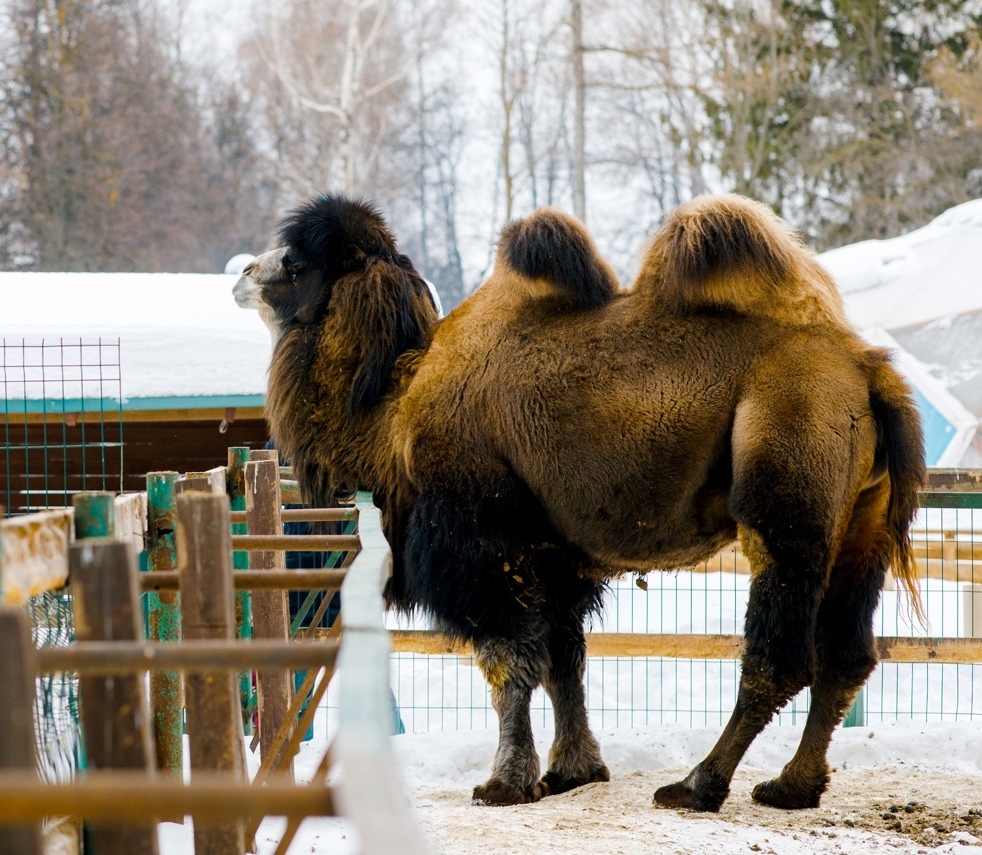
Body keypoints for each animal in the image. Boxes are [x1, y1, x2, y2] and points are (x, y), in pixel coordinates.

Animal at [234, 191, 928, 812]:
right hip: (860, 523)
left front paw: (503, 783)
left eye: (296, 264)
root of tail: (869, 373)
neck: (390, 415)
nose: (242, 273)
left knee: (780, 656)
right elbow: (564, 659)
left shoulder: (484, 538)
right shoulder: (551, 551)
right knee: (846, 655)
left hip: (785, 494)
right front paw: (574, 771)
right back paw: (792, 788)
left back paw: (696, 786)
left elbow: (509, 662)